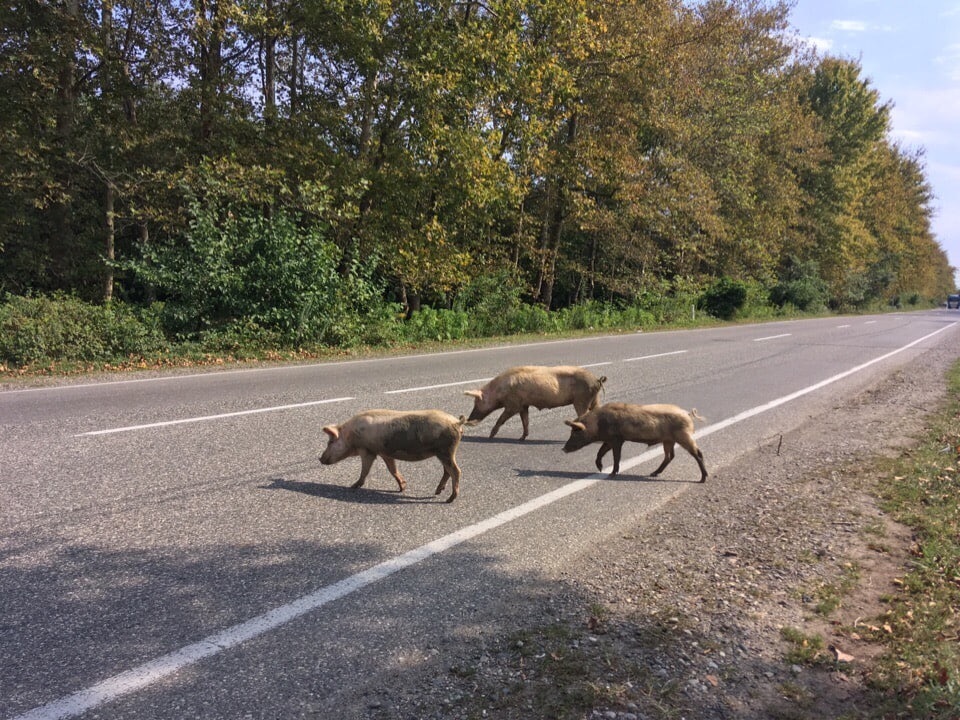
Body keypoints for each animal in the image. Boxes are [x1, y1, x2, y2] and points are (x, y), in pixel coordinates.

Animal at [320, 408, 466, 504]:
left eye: (330, 442)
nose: (320, 458)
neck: (350, 435)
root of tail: (456, 422)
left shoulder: (367, 451)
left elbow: (365, 471)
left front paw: (352, 486)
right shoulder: (385, 453)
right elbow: (392, 470)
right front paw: (402, 487)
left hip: (446, 450)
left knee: (456, 471)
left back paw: (449, 499)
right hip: (443, 452)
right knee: (447, 471)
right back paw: (437, 492)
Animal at [464, 366, 608, 438]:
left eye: (476, 403)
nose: (468, 419)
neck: (499, 390)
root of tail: (597, 379)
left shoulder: (513, 404)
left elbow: (501, 419)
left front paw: (490, 436)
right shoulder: (524, 405)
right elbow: (525, 421)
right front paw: (522, 438)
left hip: (581, 399)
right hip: (595, 398)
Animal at [564, 400, 704, 484]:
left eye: (575, 433)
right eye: (571, 432)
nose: (564, 449)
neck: (597, 423)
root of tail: (687, 414)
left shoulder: (617, 439)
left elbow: (616, 456)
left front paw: (611, 474)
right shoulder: (610, 439)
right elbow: (600, 452)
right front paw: (600, 469)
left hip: (683, 436)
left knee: (698, 453)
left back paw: (702, 479)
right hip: (669, 440)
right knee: (670, 456)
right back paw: (653, 473)